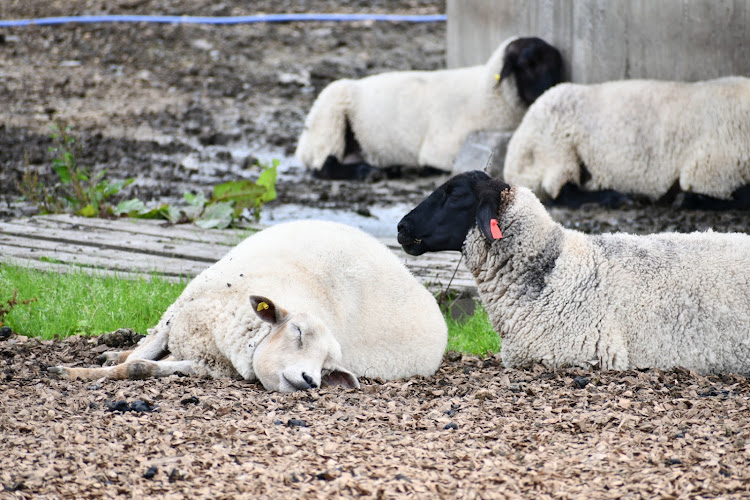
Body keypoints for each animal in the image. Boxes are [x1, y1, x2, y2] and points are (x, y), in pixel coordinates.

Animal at [50, 221, 450, 392]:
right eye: (297, 332)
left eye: (328, 367)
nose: (310, 381)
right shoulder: (174, 318)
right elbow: (139, 357)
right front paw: (75, 372)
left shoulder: (206, 365)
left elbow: (141, 368)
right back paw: (112, 352)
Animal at [296, 36, 564, 179]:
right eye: (526, 64)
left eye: (556, 64)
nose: (550, 92)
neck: (485, 93)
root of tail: (302, 143)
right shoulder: (440, 148)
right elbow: (435, 165)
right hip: (330, 115)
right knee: (324, 165)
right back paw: (368, 172)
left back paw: (388, 168)